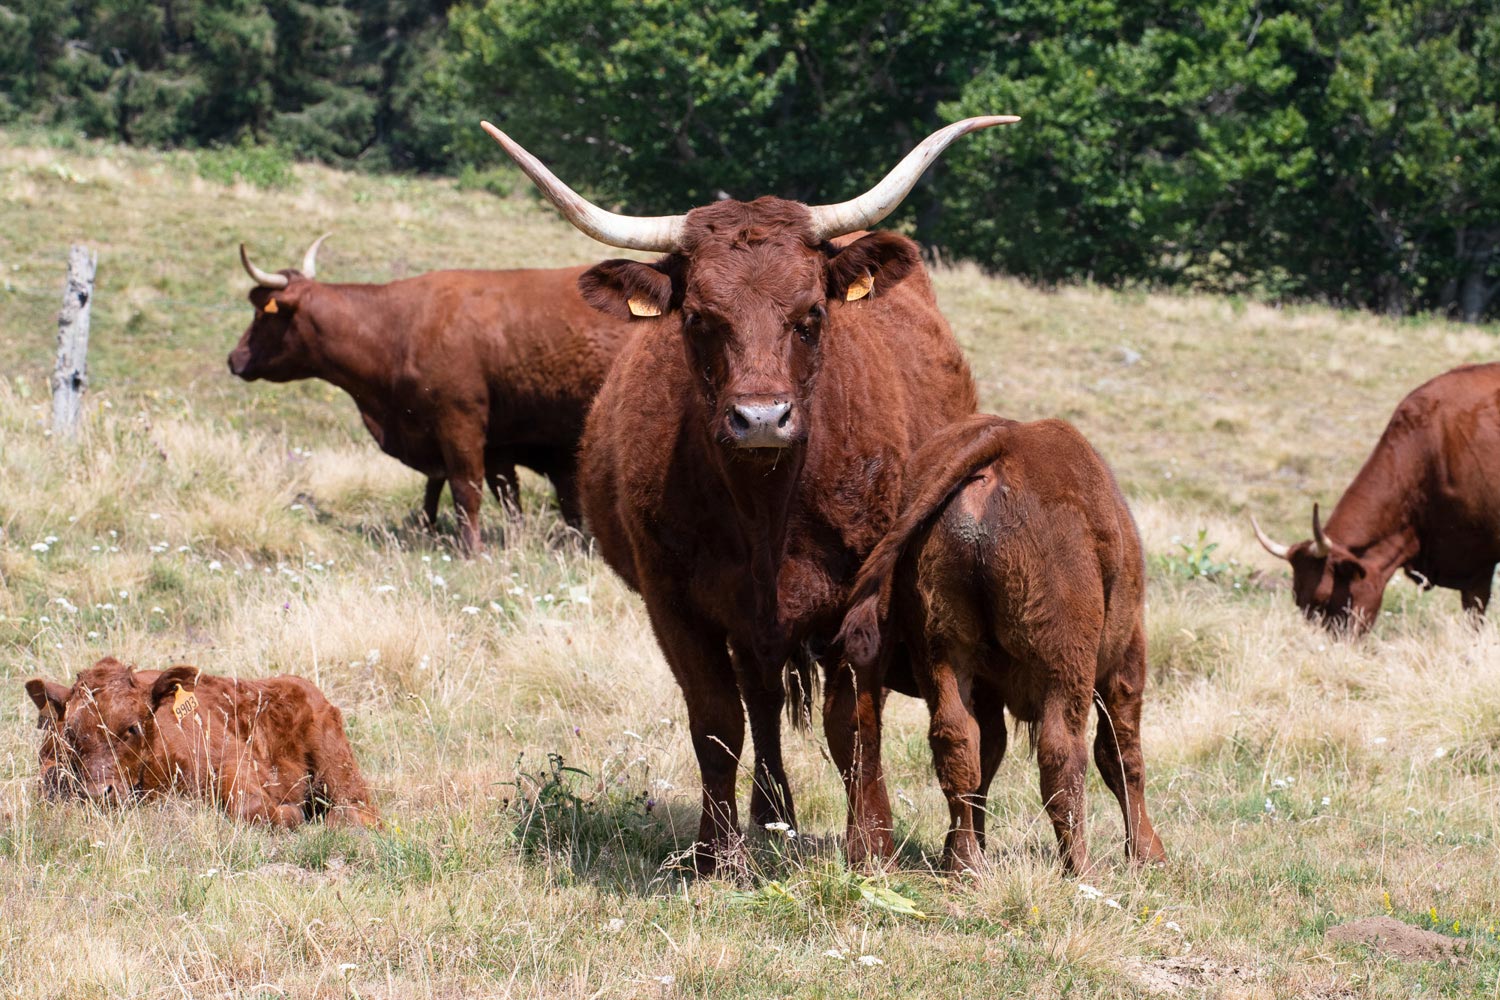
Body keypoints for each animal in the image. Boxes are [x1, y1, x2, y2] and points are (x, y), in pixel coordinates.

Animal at [24, 656, 378, 827]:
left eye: (132, 727)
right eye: (69, 733)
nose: (99, 794)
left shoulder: (235, 761)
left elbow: (250, 807)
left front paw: (292, 815)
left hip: (339, 773)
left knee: (354, 812)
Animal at [231, 235, 636, 554]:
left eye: (261, 314)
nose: (233, 359)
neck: (397, 329)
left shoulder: (459, 422)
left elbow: (465, 489)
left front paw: (473, 551)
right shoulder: (487, 442)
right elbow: (483, 493)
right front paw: (435, 531)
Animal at [483, 113, 1020, 869]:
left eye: (812, 314)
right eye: (699, 317)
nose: (761, 417)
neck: (767, 510)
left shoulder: (860, 602)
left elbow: (852, 724)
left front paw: (870, 845)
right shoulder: (676, 604)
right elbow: (717, 721)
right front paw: (716, 855)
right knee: (760, 704)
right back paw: (771, 819)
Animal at [840, 416, 1164, 875]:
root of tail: (1002, 443)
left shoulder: (984, 686)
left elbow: (988, 752)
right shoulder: (1125, 658)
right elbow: (1122, 754)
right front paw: (1148, 853)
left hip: (942, 648)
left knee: (956, 742)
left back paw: (966, 865)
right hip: (1067, 664)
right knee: (1063, 753)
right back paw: (1079, 868)